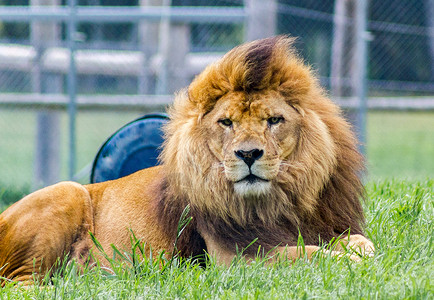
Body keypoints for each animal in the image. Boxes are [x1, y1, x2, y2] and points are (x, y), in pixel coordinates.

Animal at [0, 36, 372, 284]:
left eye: (274, 120)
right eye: (227, 123)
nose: (248, 154)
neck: (280, 200)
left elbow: (357, 242)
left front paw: (362, 253)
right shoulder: (237, 259)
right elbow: (309, 255)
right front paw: (350, 263)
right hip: (68, 191)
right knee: (21, 282)